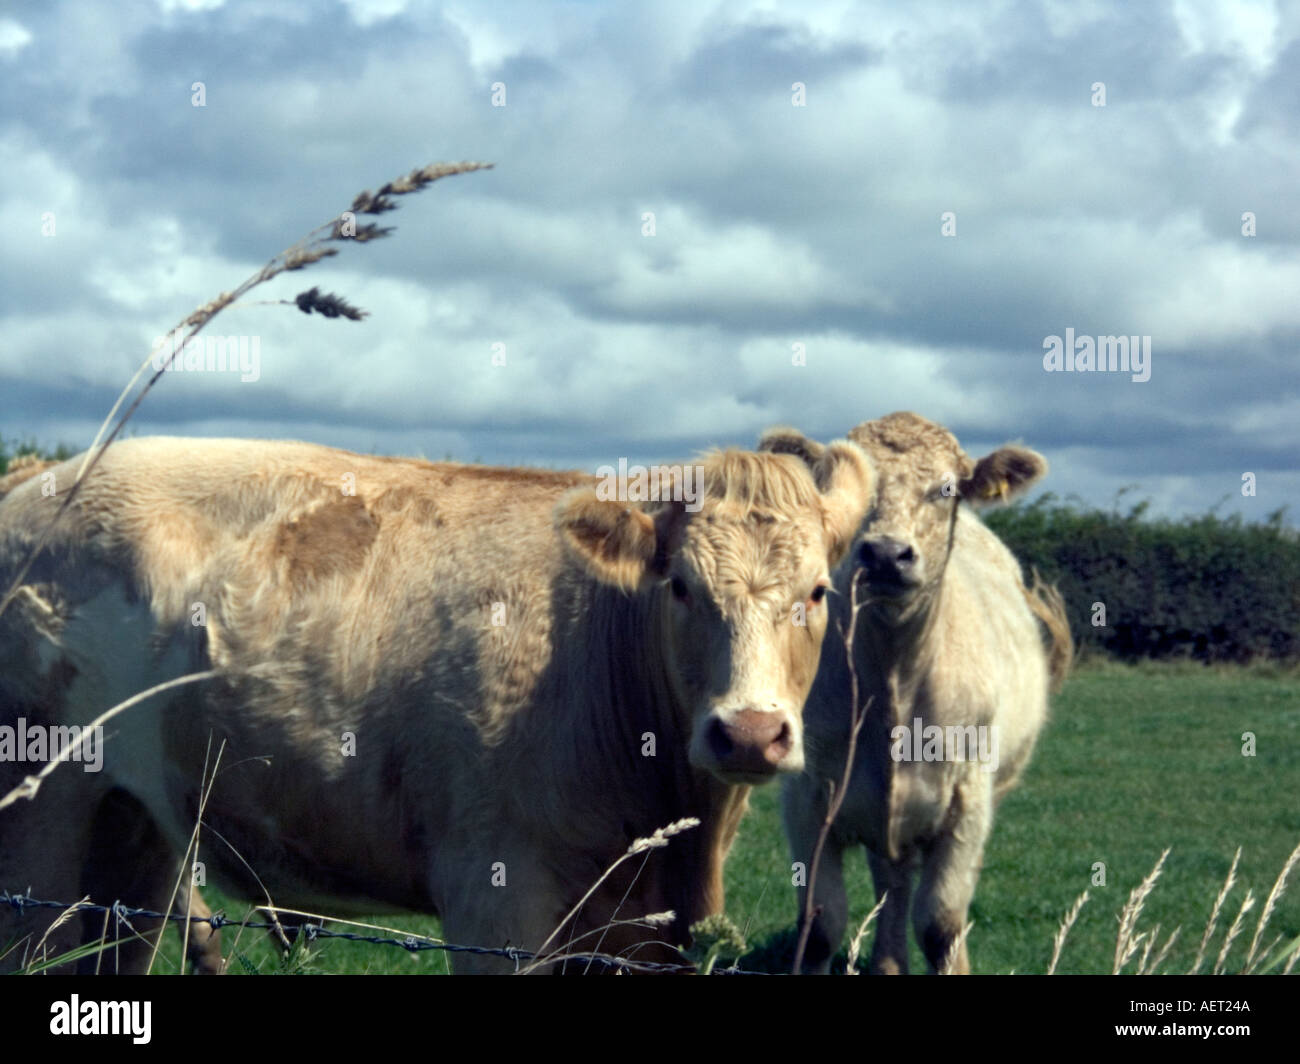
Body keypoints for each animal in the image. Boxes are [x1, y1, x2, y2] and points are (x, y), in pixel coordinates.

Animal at [2, 431, 873, 967]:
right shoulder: (497, 901)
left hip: (137, 831)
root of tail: (38, 483)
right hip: (37, 822)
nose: (750, 733)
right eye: (682, 588)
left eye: (819, 592)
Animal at [759, 411, 1071, 972]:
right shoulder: (808, 799)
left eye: (946, 488)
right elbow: (820, 925)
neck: (893, 681)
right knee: (893, 881)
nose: (886, 554)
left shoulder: (968, 799)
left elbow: (941, 922)